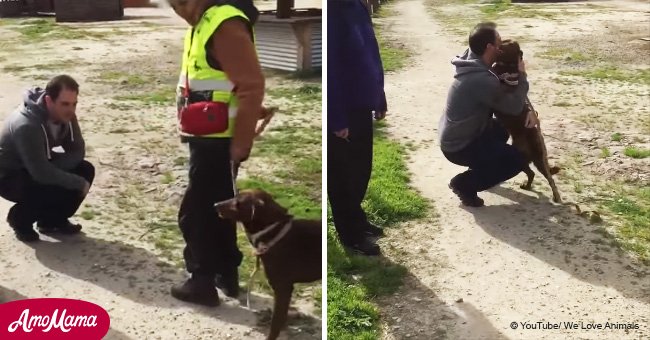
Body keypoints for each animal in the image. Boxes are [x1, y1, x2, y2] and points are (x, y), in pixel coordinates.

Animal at [215, 189, 322, 340]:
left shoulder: (283, 288)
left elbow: (275, 324)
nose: (215, 205)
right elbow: (280, 319)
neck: (272, 231)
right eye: (235, 196)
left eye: (238, 202)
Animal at [488, 39, 560, 202]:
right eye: (505, 41)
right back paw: (527, 186)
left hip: (539, 159)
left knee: (550, 179)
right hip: (520, 160)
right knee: (532, 173)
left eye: (510, 44)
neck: (508, 66)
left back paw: (556, 196)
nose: (500, 43)